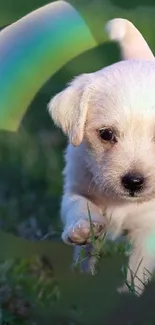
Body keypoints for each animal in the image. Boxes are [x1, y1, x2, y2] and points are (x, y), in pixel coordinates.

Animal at [48, 19, 155, 294]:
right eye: (106, 135)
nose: (134, 182)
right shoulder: (76, 187)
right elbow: (79, 206)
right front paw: (83, 229)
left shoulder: (148, 230)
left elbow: (137, 271)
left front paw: (129, 297)